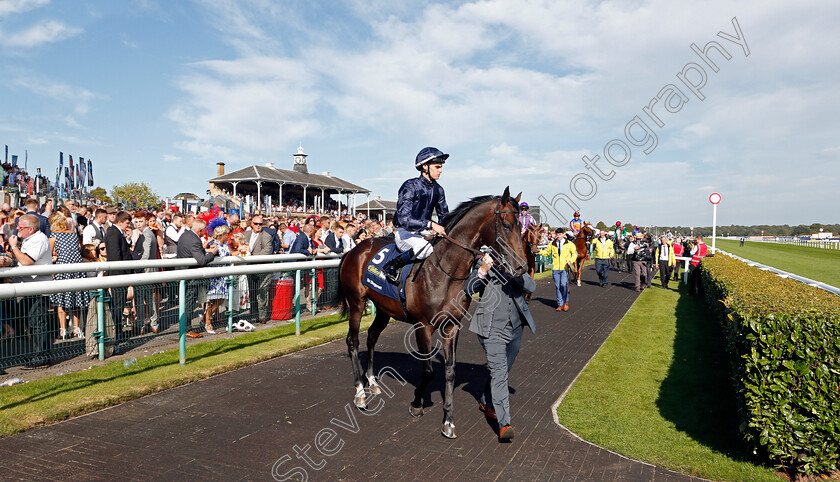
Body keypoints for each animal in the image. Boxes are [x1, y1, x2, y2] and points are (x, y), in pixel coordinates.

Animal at [340, 187, 524, 440]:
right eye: (506, 225)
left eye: (521, 226)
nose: (521, 266)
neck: (444, 270)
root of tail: (354, 250)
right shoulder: (423, 325)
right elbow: (427, 371)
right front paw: (417, 404)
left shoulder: (452, 326)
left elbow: (449, 370)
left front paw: (448, 421)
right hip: (356, 302)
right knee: (353, 340)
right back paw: (360, 393)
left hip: (384, 309)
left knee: (372, 337)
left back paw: (372, 382)